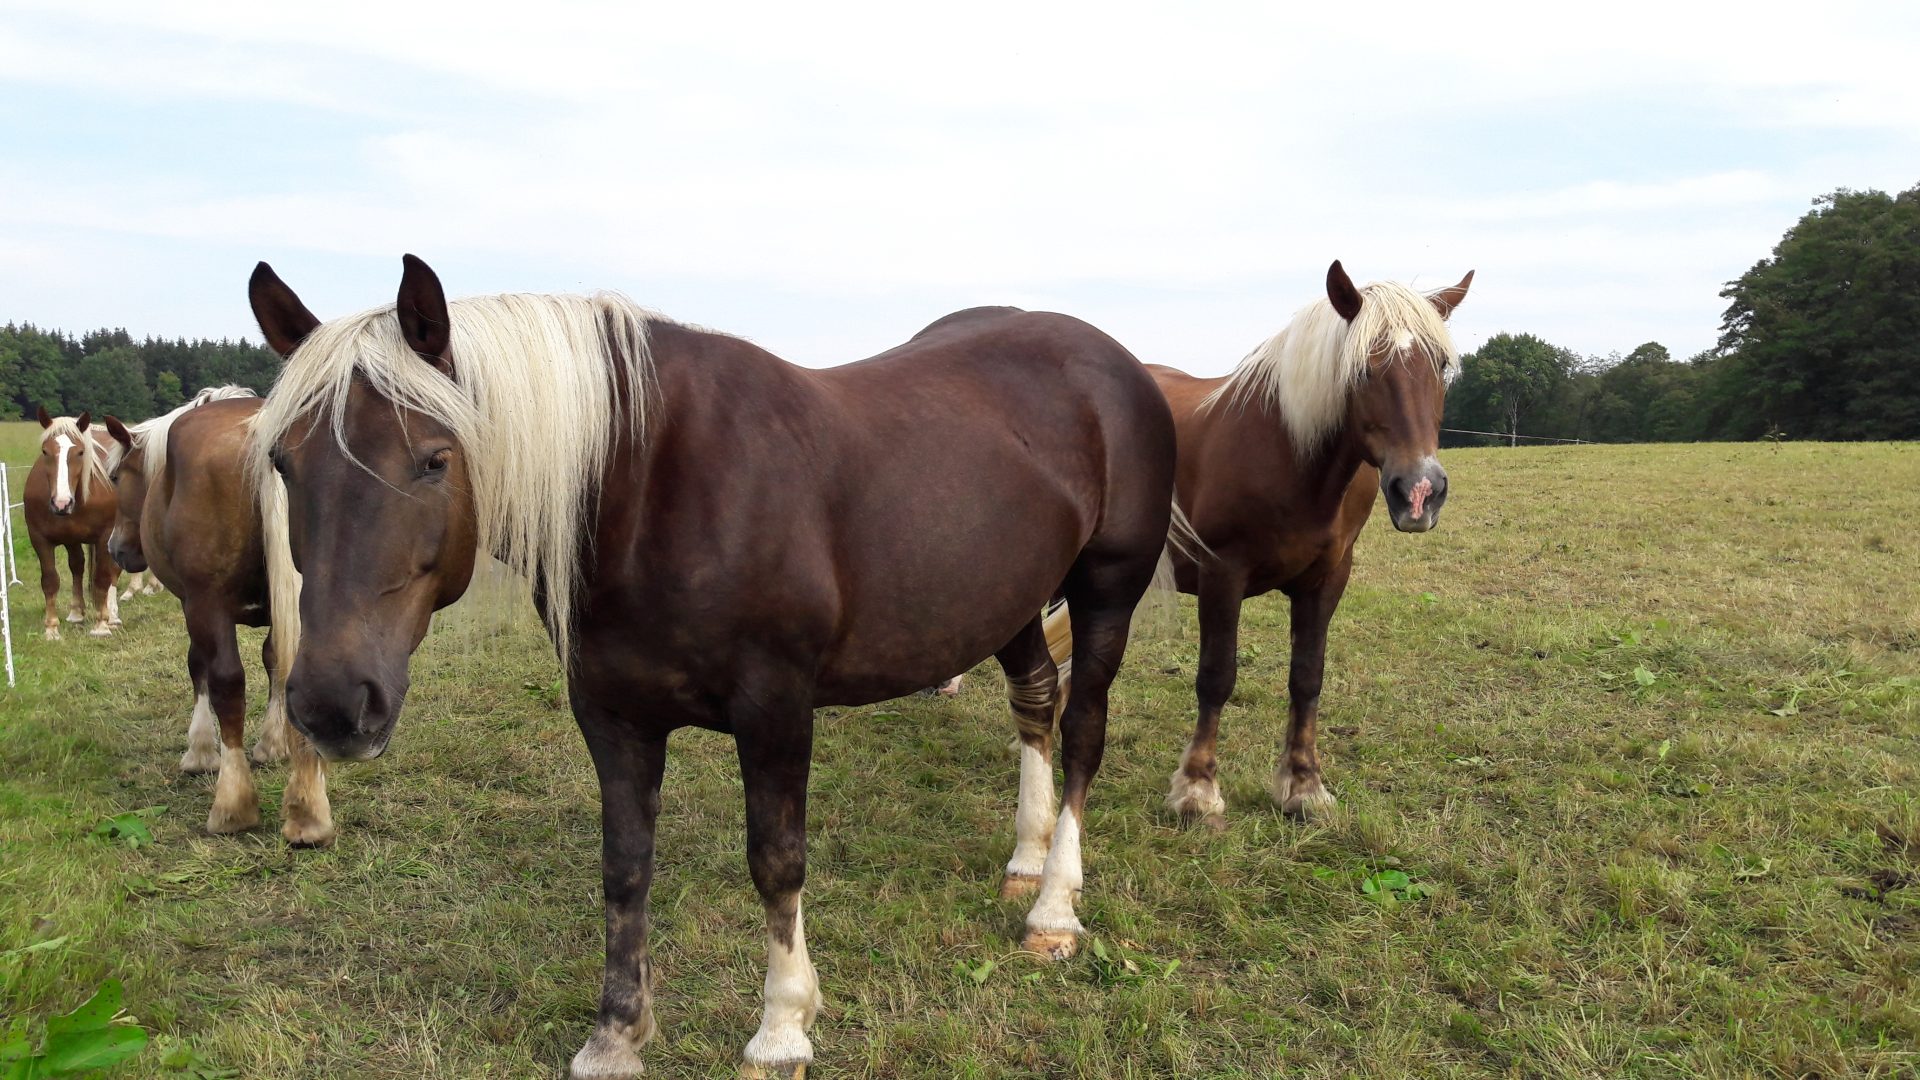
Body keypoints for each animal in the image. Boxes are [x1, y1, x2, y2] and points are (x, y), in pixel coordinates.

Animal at [25, 407, 122, 634]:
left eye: (80, 452)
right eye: (45, 451)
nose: (61, 503)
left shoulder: (104, 536)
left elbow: (102, 577)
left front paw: (101, 624)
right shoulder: (39, 538)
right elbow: (50, 580)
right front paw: (51, 628)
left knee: (112, 571)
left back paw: (112, 615)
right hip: (72, 539)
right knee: (77, 566)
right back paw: (76, 612)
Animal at [101, 390, 332, 845]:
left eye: (116, 477)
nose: (115, 550)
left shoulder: (194, 604)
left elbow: (200, 669)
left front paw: (201, 750)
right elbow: (275, 661)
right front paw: (273, 744)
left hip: (205, 606)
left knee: (226, 680)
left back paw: (232, 802)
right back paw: (310, 809)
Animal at [247, 253, 1175, 1076]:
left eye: (435, 459)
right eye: (284, 463)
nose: (332, 705)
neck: (647, 484)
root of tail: (1114, 364)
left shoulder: (776, 707)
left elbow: (776, 859)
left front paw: (783, 1028)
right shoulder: (613, 716)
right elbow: (625, 866)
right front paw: (616, 1036)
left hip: (1105, 594)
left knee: (1084, 729)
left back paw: (1054, 908)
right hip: (1008, 601)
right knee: (1035, 702)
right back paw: (1025, 862)